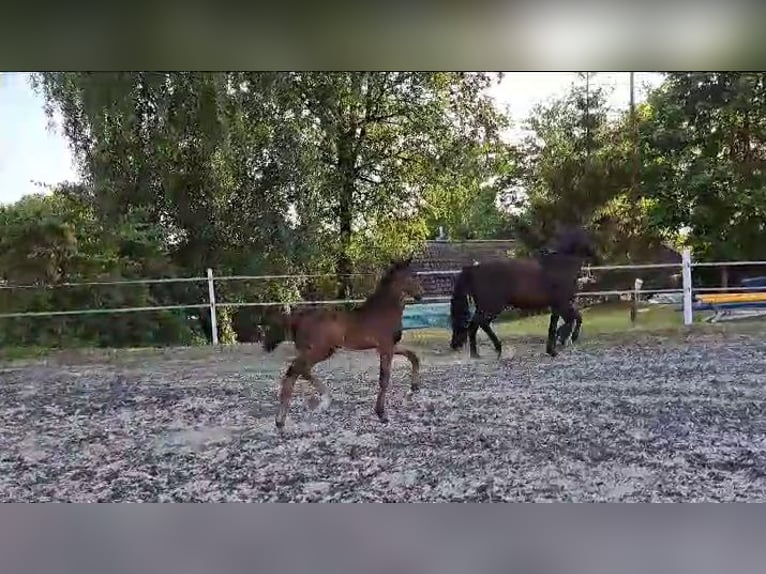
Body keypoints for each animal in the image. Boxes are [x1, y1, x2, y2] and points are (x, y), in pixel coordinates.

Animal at [266, 258, 426, 430]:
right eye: (412, 276)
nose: (421, 295)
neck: (382, 312)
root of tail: (298, 317)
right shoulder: (385, 347)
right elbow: (384, 379)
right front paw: (381, 414)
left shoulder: (390, 346)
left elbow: (413, 356)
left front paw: (414, 387)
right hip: (319, 350)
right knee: (295, 370)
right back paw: (284, 418)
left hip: (320, 350)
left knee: (301, 371)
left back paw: (316, 404)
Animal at [450, 226, 600, 358]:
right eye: (587, 237)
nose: (596, 253)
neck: (561, 267)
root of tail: (474, 269)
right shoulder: (561, 303)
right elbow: (565, 322)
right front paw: (559, 342)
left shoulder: (561, 304)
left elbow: (575, 318)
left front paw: (559, 343)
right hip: (492, 306)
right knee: (480, 323)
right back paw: (496, 349)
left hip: (483, 306)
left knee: (474, 326)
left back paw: (476, 355)